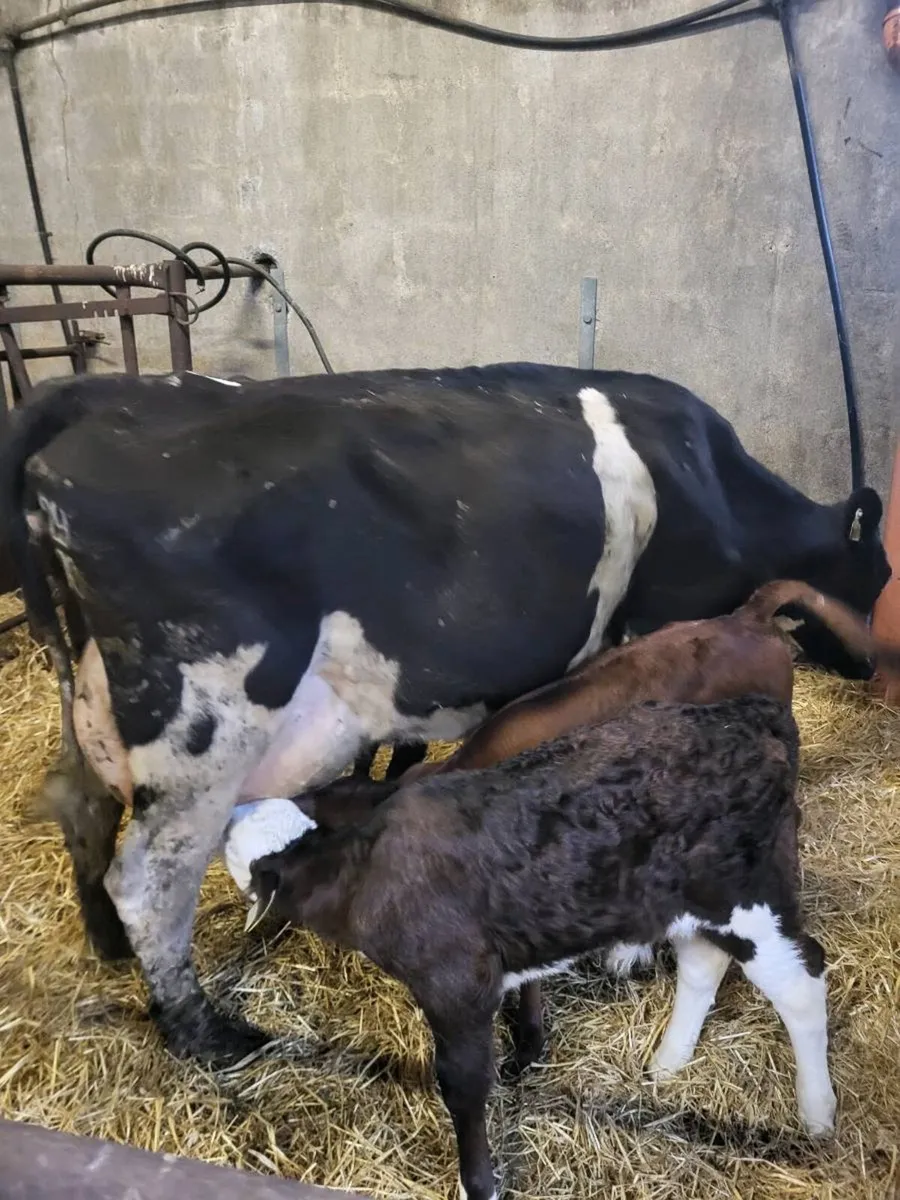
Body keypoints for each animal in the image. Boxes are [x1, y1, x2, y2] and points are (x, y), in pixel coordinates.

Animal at [0, 363, 889, 1065]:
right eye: (877, 573)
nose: (871, 663)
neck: (708, 480)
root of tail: (99, 395)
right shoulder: (655, 626)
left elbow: (404, 760)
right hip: (202, 727)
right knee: (150, 879)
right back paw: (206, 1034)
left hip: (89, 696)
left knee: (82, 808)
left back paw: (107, 947)